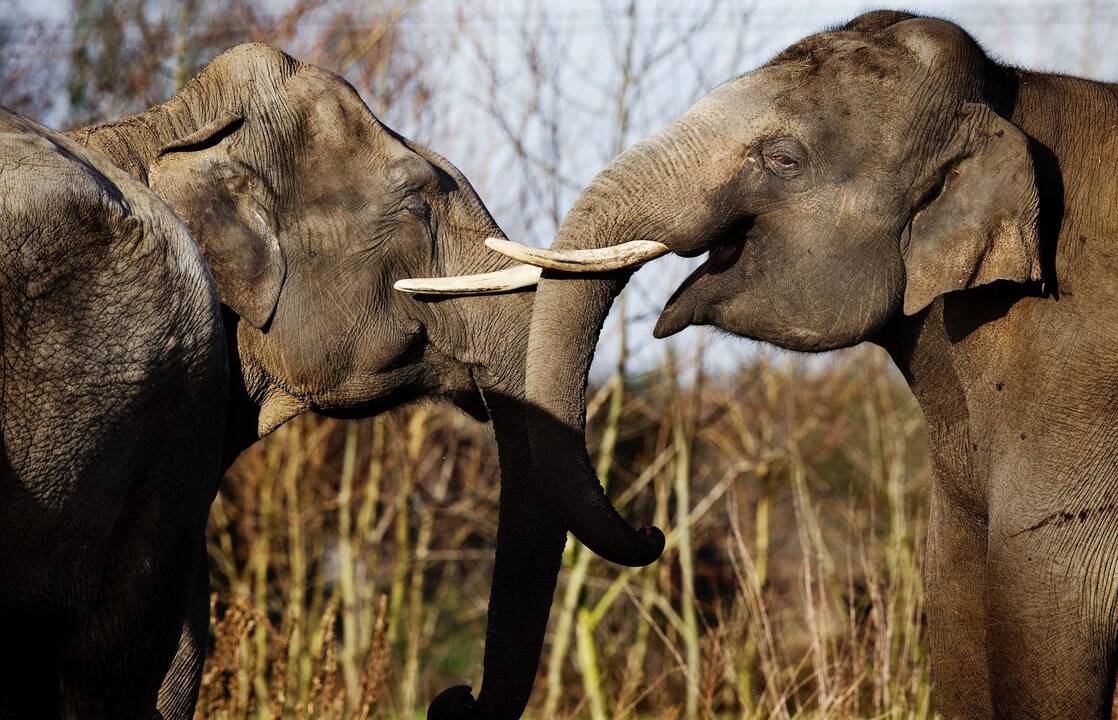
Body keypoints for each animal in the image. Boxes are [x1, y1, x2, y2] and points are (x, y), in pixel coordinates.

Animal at [482, 11, 1118, 720]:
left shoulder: (1070, 399)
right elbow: (959, 620)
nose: (653, 533)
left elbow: (1049, 628)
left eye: (784, 160)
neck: (1008, 99)